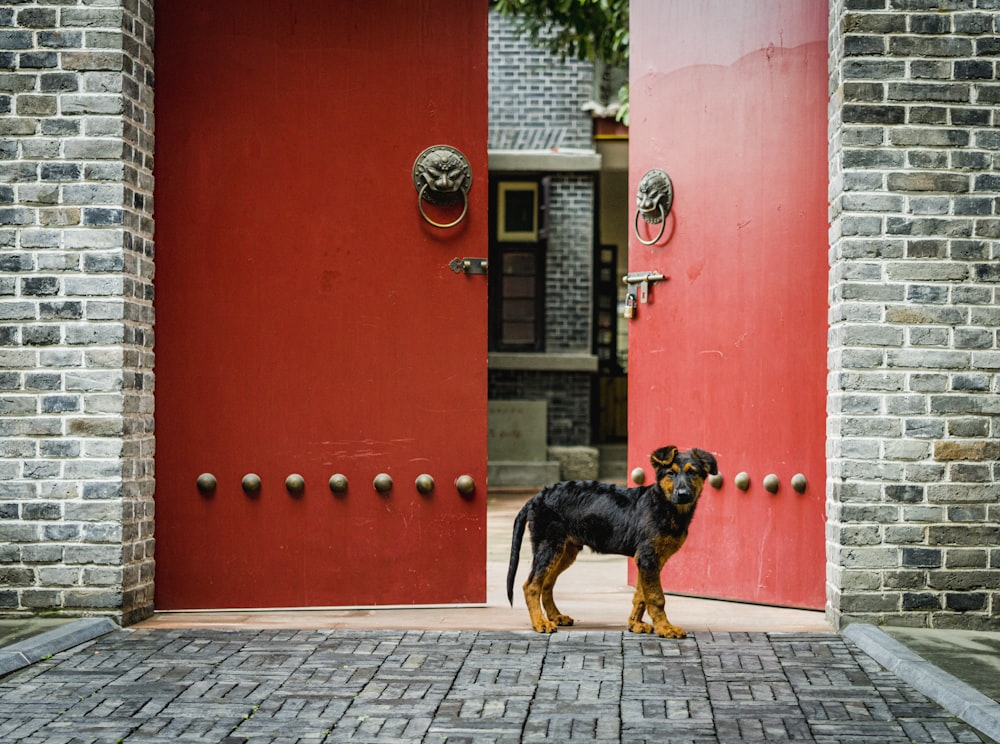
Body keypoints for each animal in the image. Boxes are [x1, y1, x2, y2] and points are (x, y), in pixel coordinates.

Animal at [508, 444, 720, 636]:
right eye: (670, 473)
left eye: (693, 473)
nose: (683, 495)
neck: (665, 505)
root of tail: (538, 496)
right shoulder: (647, 557)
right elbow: (656, 597)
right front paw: (665, 628)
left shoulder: (651, 560)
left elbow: (641, 595)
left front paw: (635, 624)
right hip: (548, 546)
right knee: (531, 585)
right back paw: (540, 623)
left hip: (565, 550)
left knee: (546, 583)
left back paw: (555, 617)